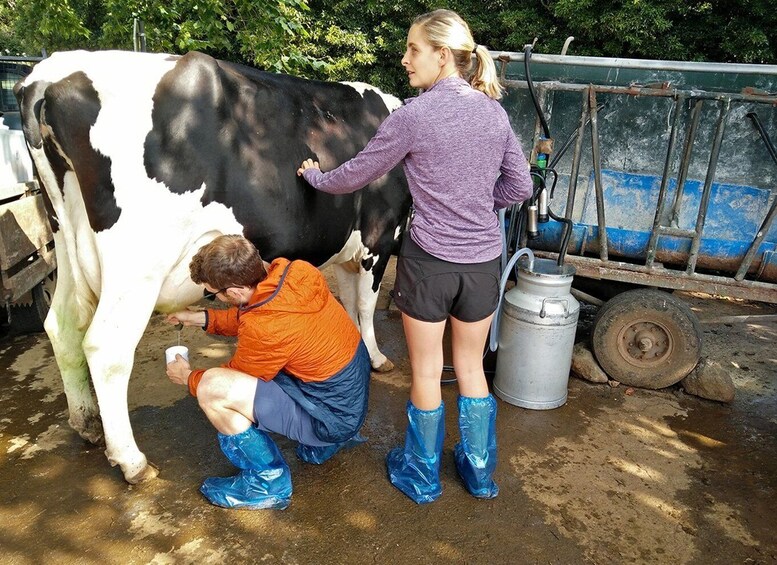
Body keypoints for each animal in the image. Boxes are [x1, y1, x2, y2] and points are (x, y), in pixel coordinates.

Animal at [15, 53, 410, 482]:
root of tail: (50, 73)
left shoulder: (348, 251)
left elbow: (352, 304)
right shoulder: (378, 235)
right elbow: (366, 306)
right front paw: (376, 358)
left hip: (66, 240)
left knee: (62, 326)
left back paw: (86, 422)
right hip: (137, 263)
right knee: (106, 346)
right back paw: (132, 461)